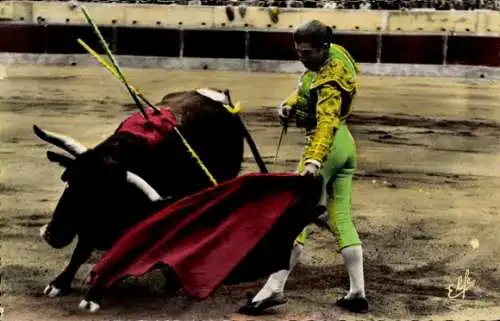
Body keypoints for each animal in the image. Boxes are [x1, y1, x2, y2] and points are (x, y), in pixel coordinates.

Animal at [33, 89, 252, 308]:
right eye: (69, 183)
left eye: (100, 196)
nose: (52, 235)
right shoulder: (91, 228)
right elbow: (81, 251)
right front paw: (59, 284)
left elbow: (121, 255)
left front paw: (94, 294)